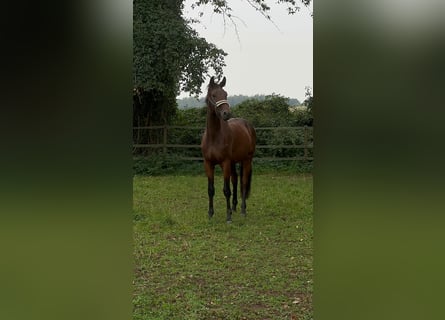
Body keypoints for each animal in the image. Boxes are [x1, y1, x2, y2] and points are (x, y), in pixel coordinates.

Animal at [201, 77, 256, 222]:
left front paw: (228, 217)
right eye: (214, 95)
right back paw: (234, 207)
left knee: (243, 183)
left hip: (246, 160)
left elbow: (226, 190)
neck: (214, 136)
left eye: (225, 94)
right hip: (233, 162)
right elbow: (210, 189)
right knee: (235, 180)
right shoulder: (208, 164)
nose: (227, 113)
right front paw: (210, 213)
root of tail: (247, 125)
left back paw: (242, 210)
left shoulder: (225, 162)